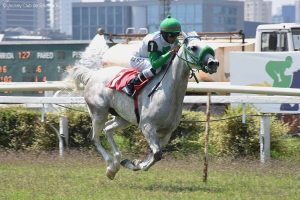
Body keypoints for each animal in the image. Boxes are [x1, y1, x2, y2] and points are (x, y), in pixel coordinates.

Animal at [72, 31, 218, 180]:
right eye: (193, 47)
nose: (214, 63)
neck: (169, 91)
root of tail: (93, 75)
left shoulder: (167, 132)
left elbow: (154, 154)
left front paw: (134, 163)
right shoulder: (147, 126)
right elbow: (157, 154)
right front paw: (136, 164)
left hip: (123, 118)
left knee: (108, 129)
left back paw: (117, 161)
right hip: (99, 113)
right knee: (94, 137)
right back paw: (111, 168)